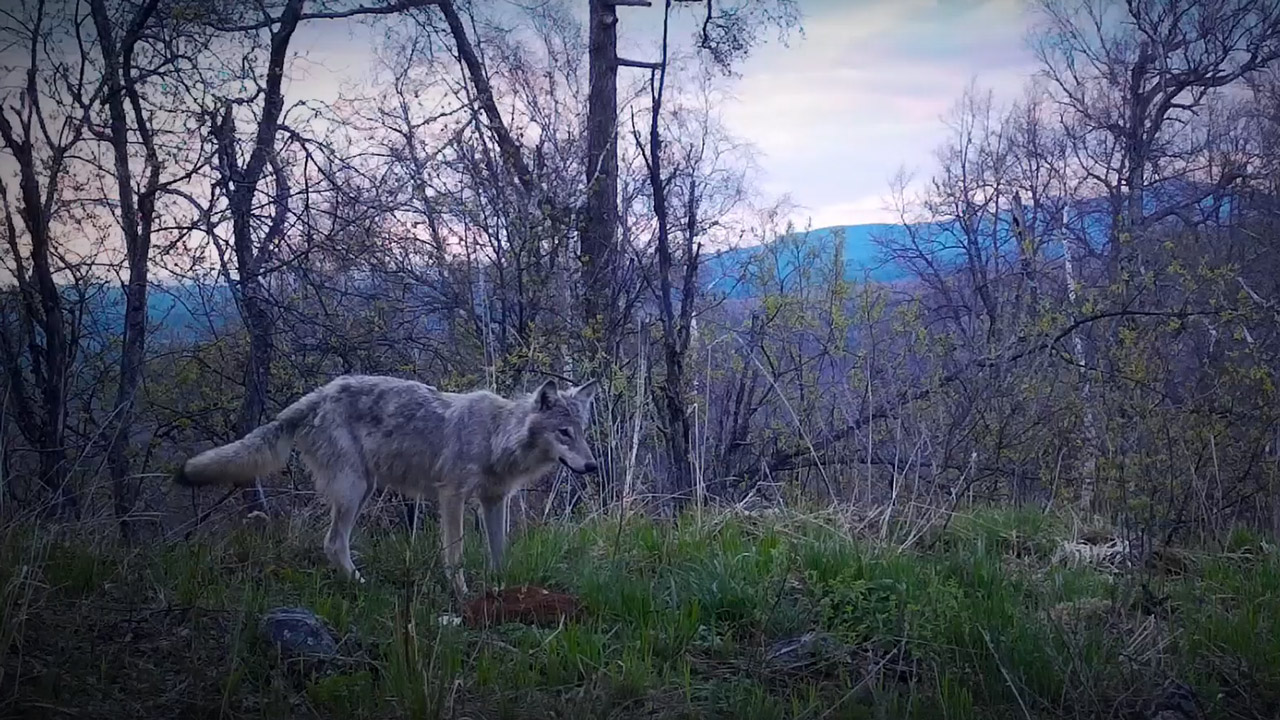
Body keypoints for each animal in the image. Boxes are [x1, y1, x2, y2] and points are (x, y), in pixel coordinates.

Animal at [171, 371, 604, 597]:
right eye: (564, 433)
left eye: (583, 432)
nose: (592, 465)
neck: (497, 436)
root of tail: (317, 394)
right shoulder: (451, 498)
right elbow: (456, 555)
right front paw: (462, 595)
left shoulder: (494, 501)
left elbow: (499, 553)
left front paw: (500, 591)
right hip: (354, 491)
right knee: (333, 543)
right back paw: (363, 586)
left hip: (363, 490)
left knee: (334, 543)